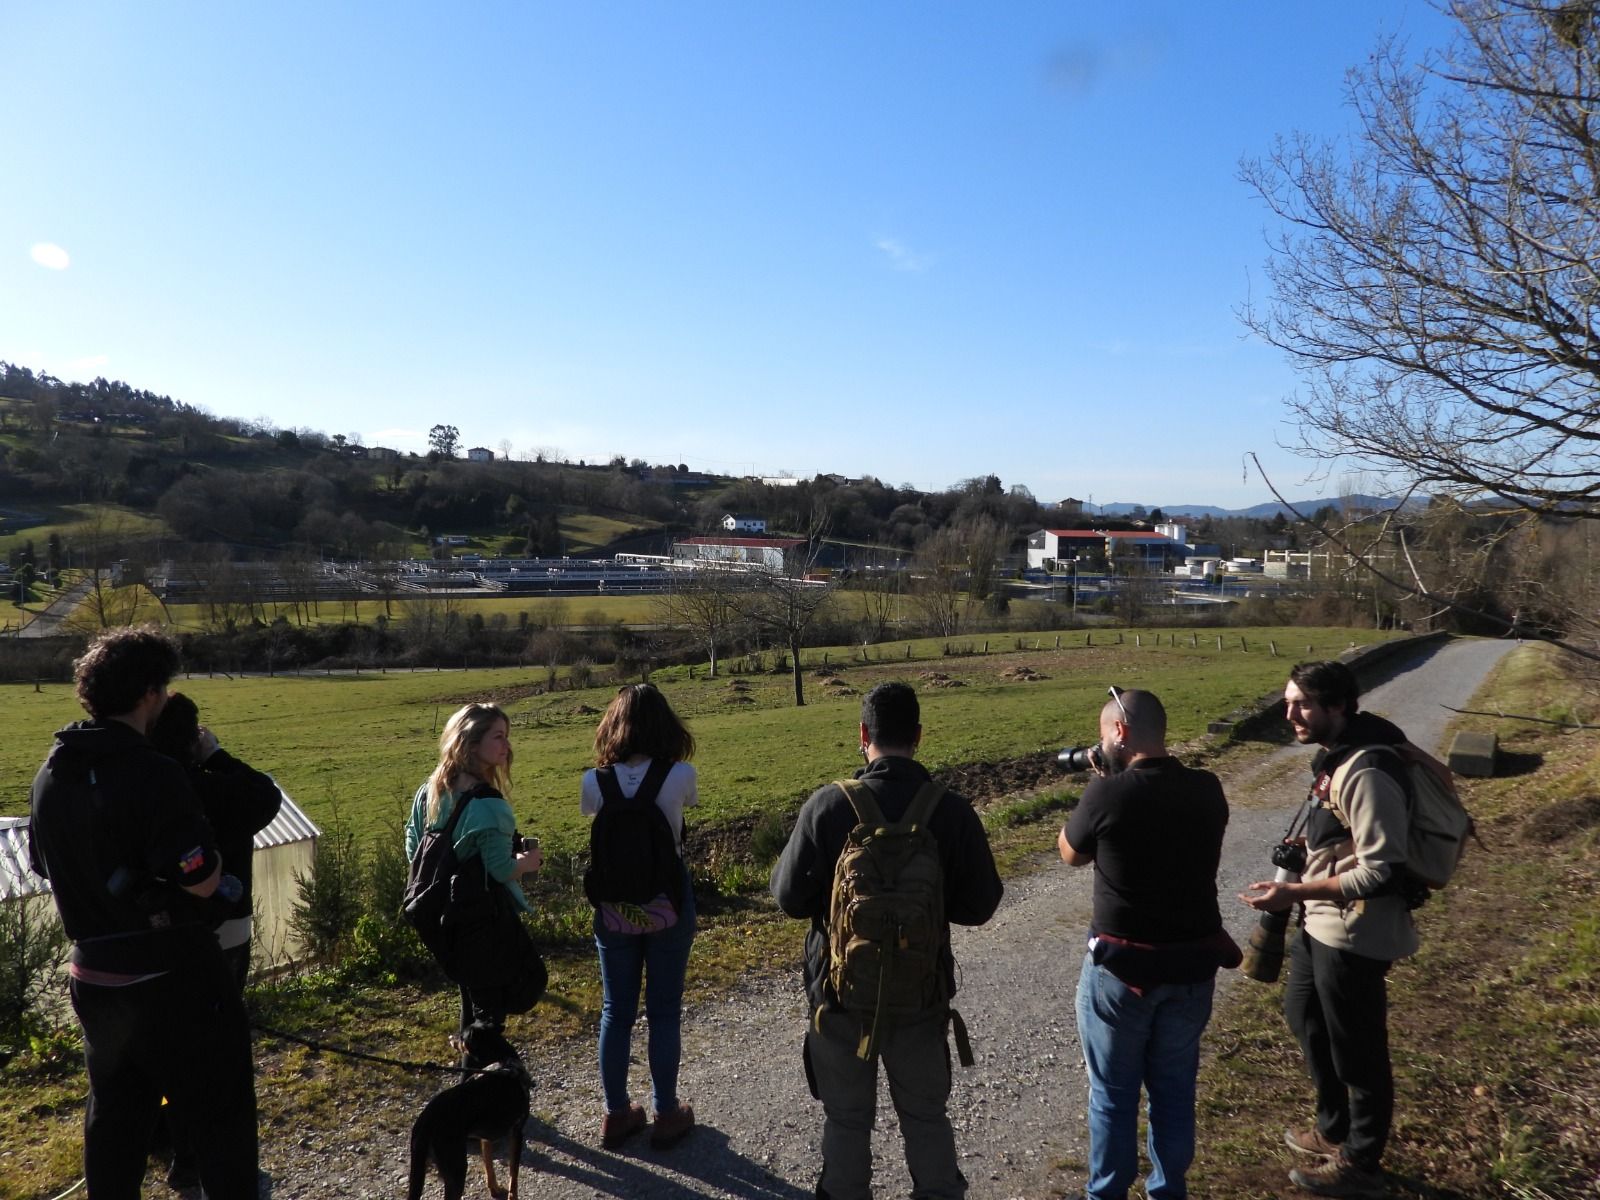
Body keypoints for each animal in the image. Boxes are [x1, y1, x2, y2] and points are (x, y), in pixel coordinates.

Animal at [406, 1024, 531, 1200]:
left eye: (461, 1036)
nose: (450, 1037)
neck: (504, 1064)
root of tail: (425, 1121)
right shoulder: (517, 1131)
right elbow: (514, 1173)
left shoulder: (486, 1136)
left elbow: (489, 1164)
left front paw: (494, 1189)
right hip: (456, 1168)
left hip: (420, 1166)